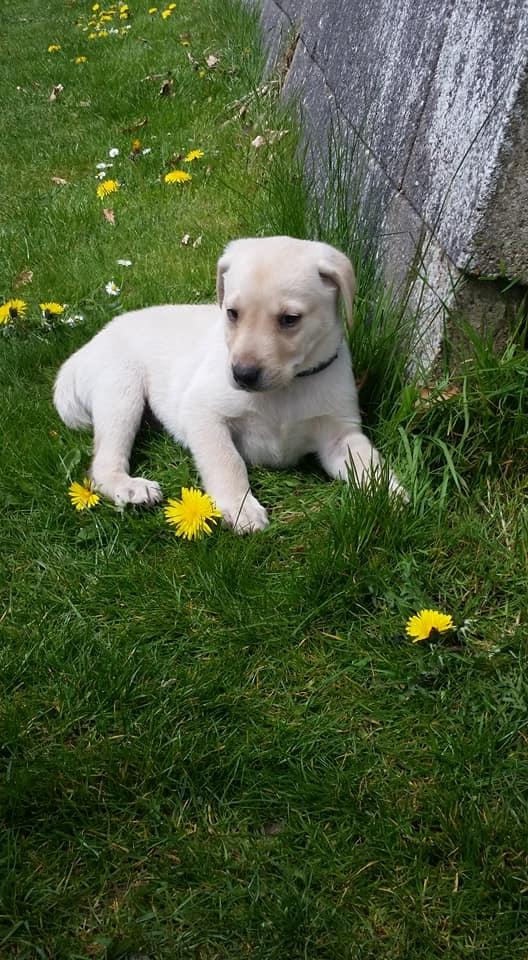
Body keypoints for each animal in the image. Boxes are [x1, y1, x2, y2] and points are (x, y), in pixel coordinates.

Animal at [55, 234, 398, 532]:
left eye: (290, 319)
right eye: (232, 313)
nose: (242, 374)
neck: (287, 388)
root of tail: (87, 347)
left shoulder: (340, 435)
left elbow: (369, 463)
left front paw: (391, 494)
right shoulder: (202, 412)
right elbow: (227, 461)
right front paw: (241, 506)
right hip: (121, 392)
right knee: (102, 464)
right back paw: (130, 488)